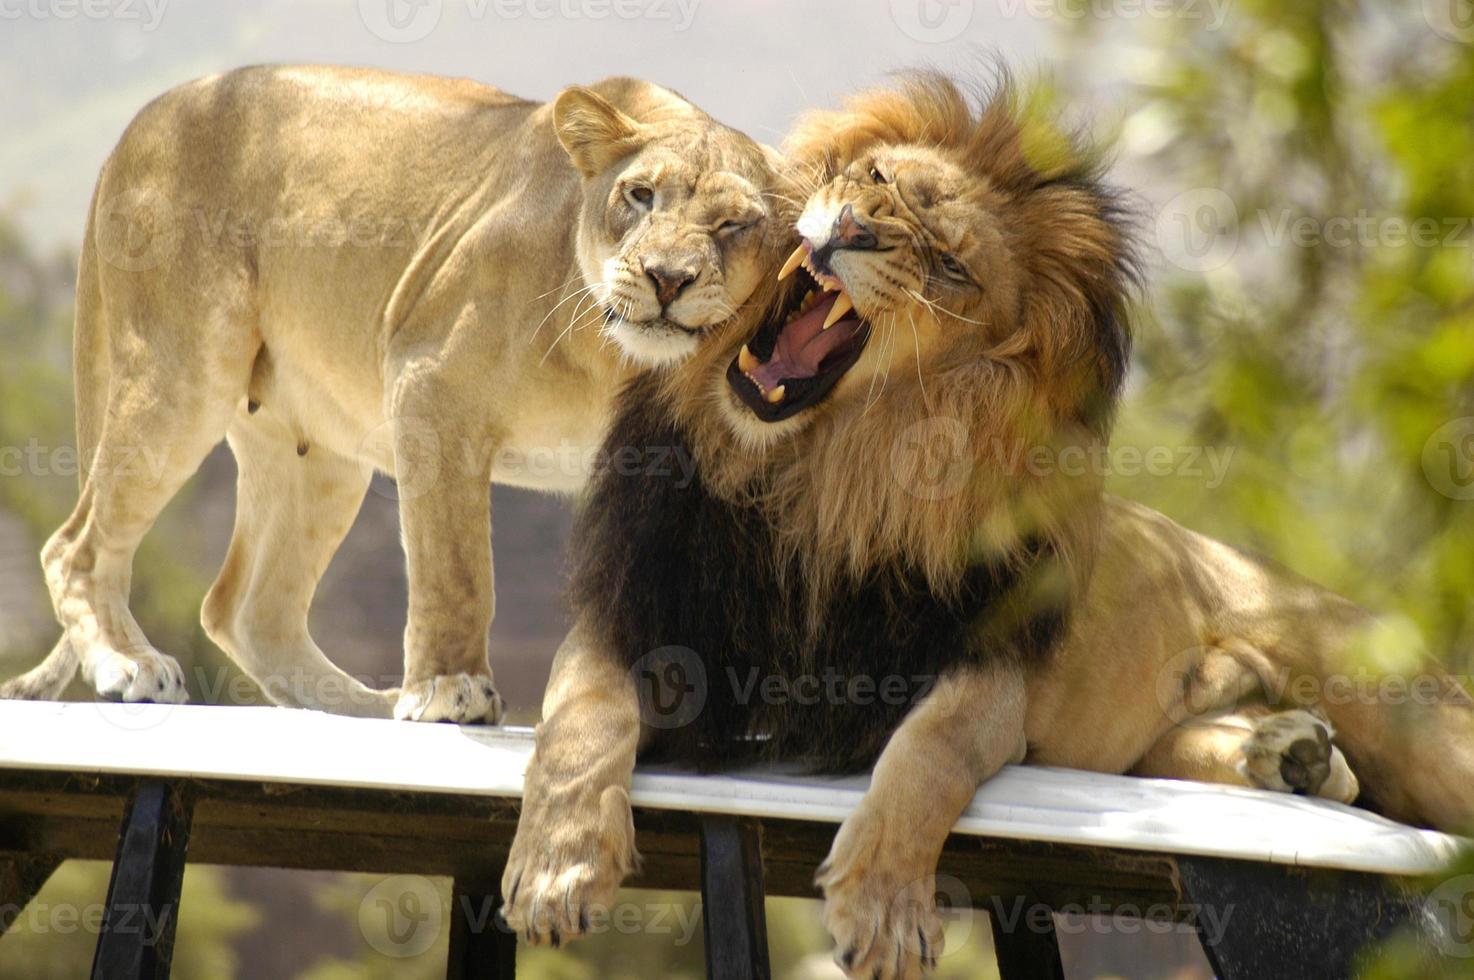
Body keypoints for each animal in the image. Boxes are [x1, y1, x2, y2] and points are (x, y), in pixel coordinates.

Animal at [0, 63, 784, 719]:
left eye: (734, 223)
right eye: (641, 195)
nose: (667, 277)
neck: (621, 361)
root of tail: (142, 121)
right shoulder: (430, 386)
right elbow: (455, 567)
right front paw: (449, 688)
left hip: (320, 453)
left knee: (245, 608)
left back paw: (365, 707)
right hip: (182, 372)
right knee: (75, 546)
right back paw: (128, 663)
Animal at [504, 72, 1474, 972]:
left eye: (949, 265)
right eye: (874, 177)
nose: (851, 231)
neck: (810, 477)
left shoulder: (982, 661)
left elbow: (928, 754)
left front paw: (884, 902)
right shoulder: (634, 609)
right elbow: (582, 719)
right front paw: (557, 865)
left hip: (1412, 719)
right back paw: (1289, 754)